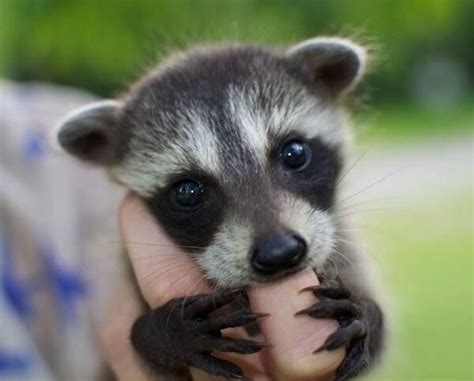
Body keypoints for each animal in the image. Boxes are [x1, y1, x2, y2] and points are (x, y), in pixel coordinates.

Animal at [54, 36, 386, 380]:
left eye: (294, 153)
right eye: (187, 192)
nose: (279, 252)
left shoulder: (343, 245)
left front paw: (365, 314)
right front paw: (162, 332)